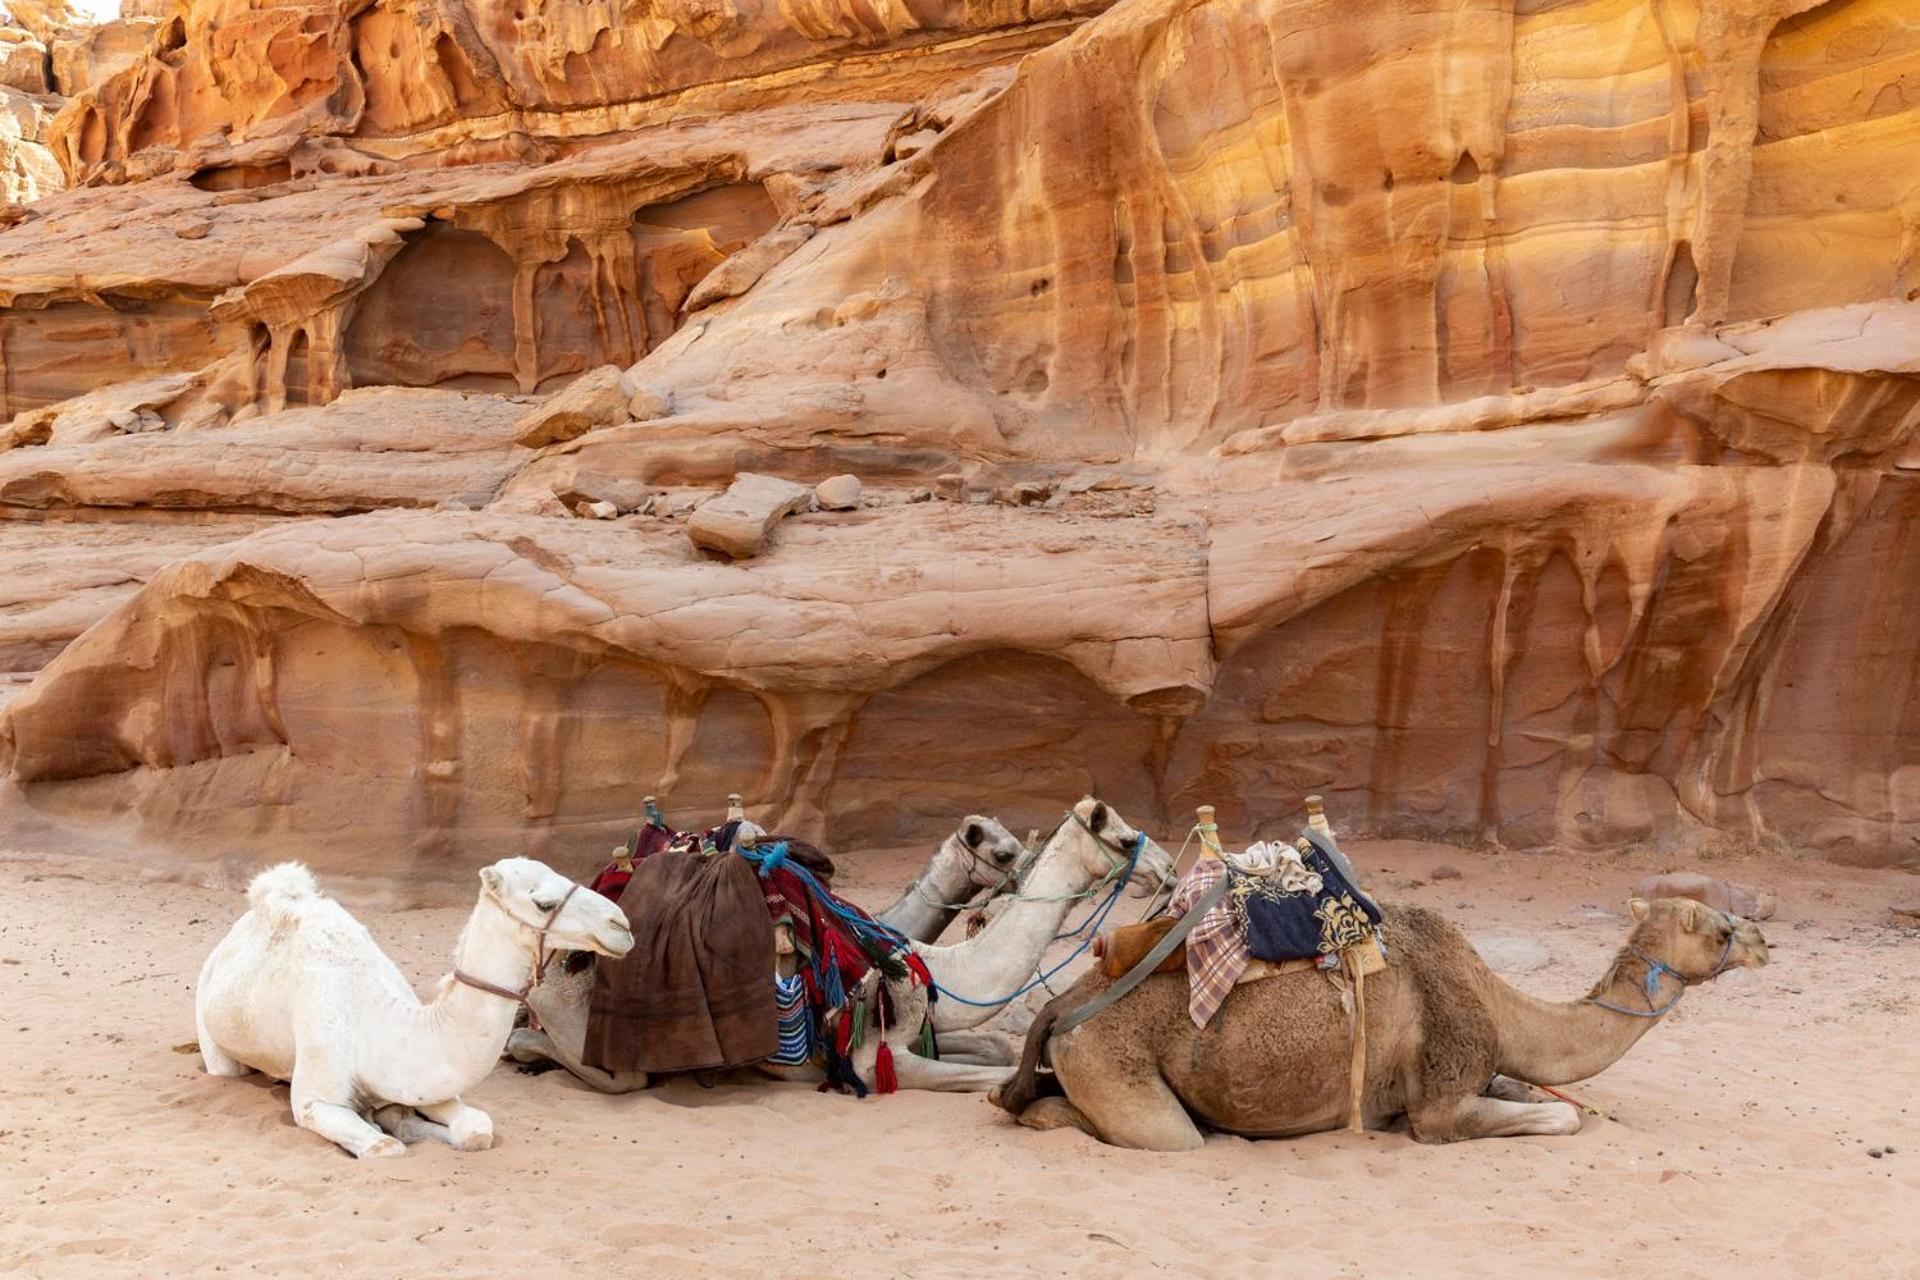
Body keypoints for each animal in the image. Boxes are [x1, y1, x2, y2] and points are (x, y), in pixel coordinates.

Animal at [202, 859, 637, 1159]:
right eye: (544, 903)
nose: (621, 924)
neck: (377, 1027)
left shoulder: (425, 1082)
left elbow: (475, 1129)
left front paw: (402, 1120)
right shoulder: (314, 1100)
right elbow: (384, 1147)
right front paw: (386, 1127)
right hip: (213, 1036)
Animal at [510, 802, 1167, 1090]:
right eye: (1124, 837)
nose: (1163, 870)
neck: (933, 967)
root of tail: (546, 975)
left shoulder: (925, 1029)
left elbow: (994, 1049)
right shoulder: (878, 1059)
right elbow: (987, 1074)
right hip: (594, 1037)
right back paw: (525, 1051)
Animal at [998, 890, 1774, 1151]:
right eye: (1715, 926)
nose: (1764, 939)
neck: (1500, 1006)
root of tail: (1065, 1002)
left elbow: (1533, 1092)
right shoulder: (1441, 1103)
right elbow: (1560, 1115)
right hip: (1114, 1066)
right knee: (1144, 1130)